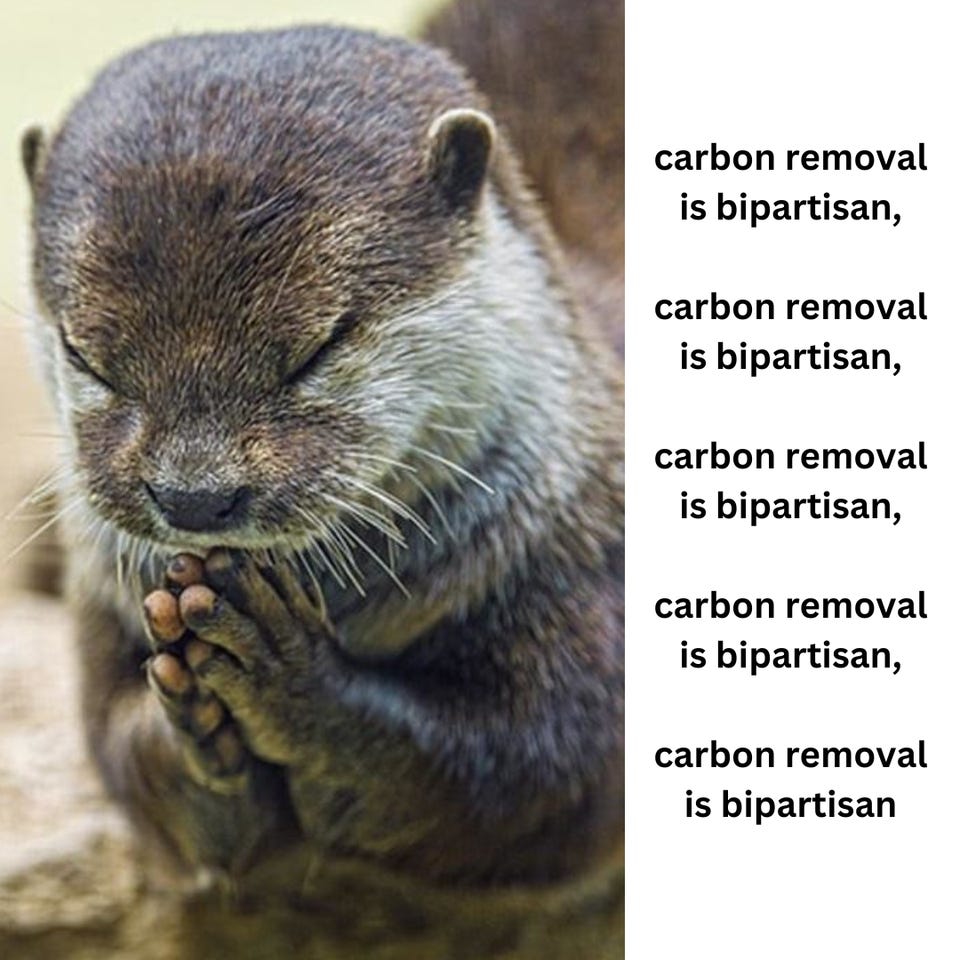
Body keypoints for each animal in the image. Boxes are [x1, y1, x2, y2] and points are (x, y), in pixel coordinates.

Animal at [21, 1, 623, 955]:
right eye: (88, 356)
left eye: (317, 348)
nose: (195, 495)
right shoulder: (102, 604)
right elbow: (126, 756)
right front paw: (192, 727)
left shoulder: (581, 568)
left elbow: (540, 777)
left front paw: (289, 678)